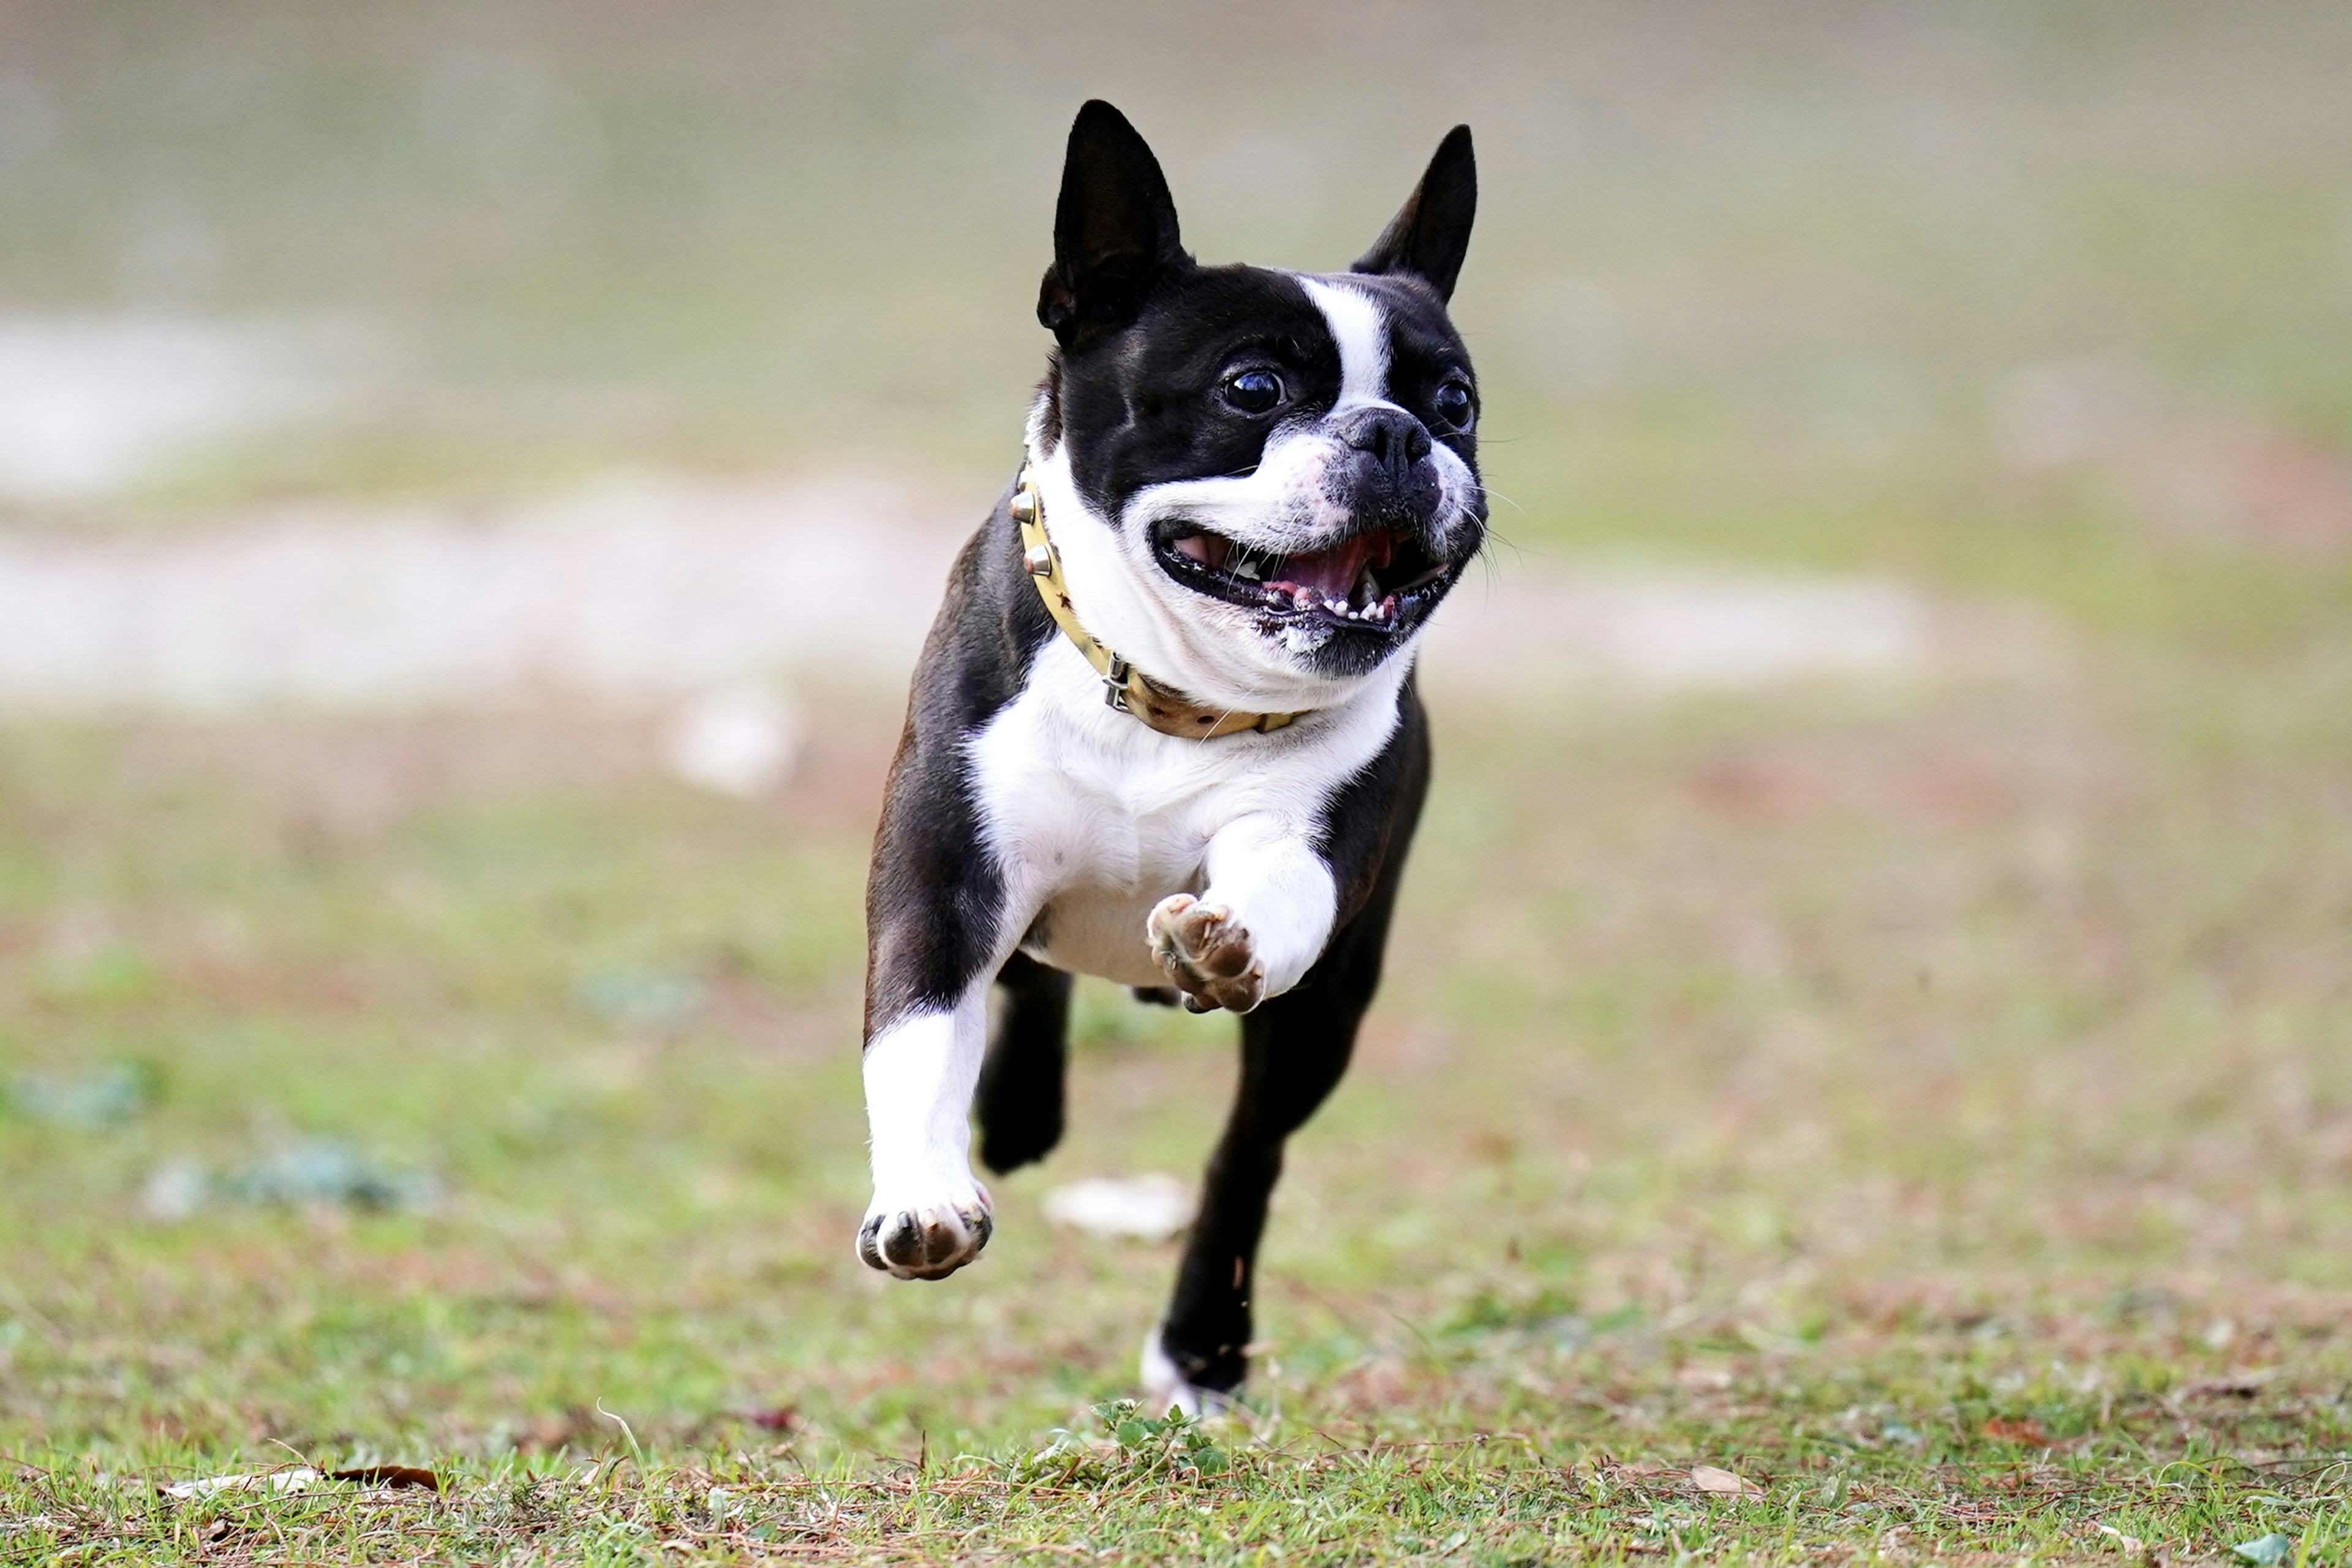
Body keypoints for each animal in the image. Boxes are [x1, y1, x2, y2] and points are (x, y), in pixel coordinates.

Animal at [865, 101, 1486, 1420]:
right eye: (1254, 388)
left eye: (1457, 400)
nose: (1397, 432)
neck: (1169, 697)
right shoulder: (943, 880)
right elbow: (918, 1034)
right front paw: (926, 1193)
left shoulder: (1317, 851)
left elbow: (1279, 894)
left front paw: (1232, 938)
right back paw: (1017, 1114)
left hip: (1324, 1023)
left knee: (1245, 1156)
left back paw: (1203, 1342)